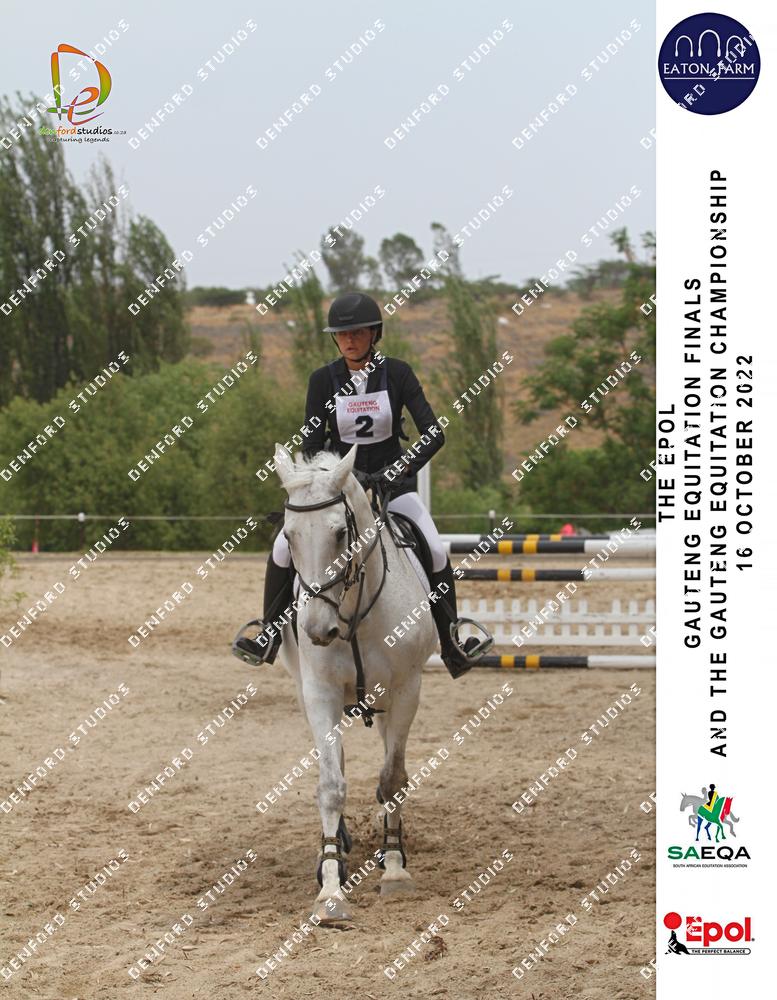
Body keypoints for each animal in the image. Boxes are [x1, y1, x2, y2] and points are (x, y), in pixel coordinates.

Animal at [270, 443, 438, 923]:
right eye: (288, 536)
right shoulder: (319, 694)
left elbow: (393, 778)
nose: (316, 630)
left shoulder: (406, 690)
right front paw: (330, 886)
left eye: (341, 533)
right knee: (336, 762)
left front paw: (395, 868)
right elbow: (331, 785)